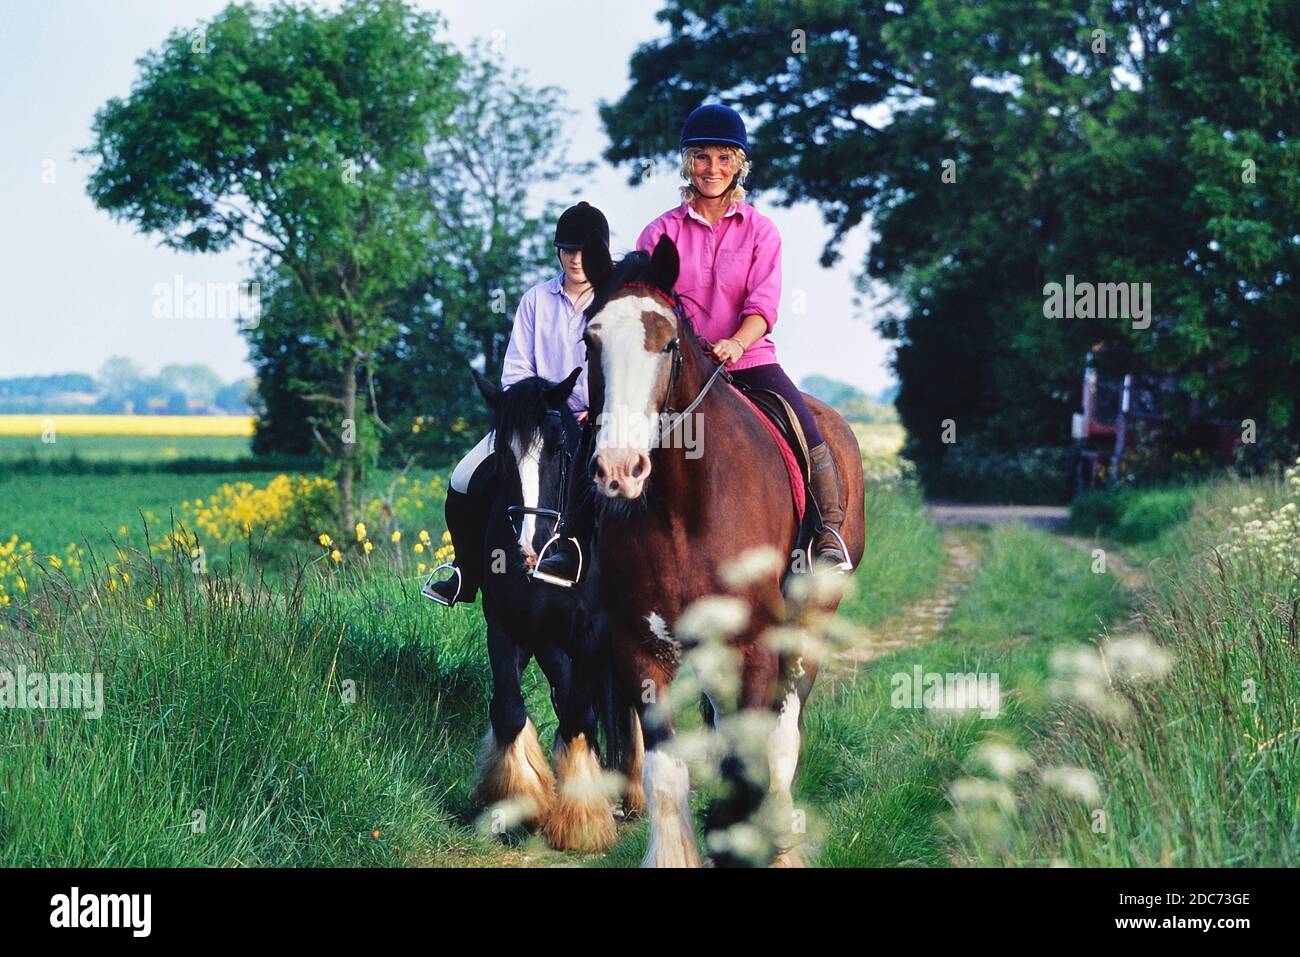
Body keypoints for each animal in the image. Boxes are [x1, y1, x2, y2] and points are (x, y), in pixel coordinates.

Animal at [460, 367, 620, 852]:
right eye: (502, 452)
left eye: (558, 445)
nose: (531, 544)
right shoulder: (509, 625)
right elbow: (510, 711)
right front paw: (515, 804)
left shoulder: (592, 635)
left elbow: (580, 715)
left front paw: (583, 820)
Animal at [577, 232, 867, 867]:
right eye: (591, 338)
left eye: (666, 343)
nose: (618, 471)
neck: (682, 507)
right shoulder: (639, 644)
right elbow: (665, 769)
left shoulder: (755, 641)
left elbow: (752, 756)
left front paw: (753, 842)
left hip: (811, 617)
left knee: (784, 730)